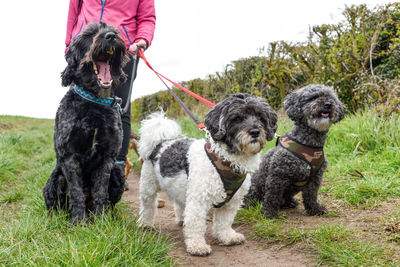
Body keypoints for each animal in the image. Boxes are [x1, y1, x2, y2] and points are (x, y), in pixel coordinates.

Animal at [42, 22, 130, 224]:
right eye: (89, 35)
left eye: (115, 30)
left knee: (109, 199)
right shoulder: (69, 155)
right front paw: (78, 222)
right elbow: (76, 191)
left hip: (118, 173)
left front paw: (101, 220)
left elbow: (101, 191)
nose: (110, 36)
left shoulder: (107, 157)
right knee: (55, 205)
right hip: (54, 179)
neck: (93, 102)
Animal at [138, 94, 278, 258]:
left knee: (179, 203)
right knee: (148, 206)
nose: (255, 131)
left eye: (260, 117)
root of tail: (161, 141)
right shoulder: (199, 200)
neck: (227, 160)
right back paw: (145, 224)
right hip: (148, 186)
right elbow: (196, 223)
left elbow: (224, 221)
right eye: (237, 118)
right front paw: (197, 245)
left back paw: (181, 220)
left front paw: (227, 236)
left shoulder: (231, 202)